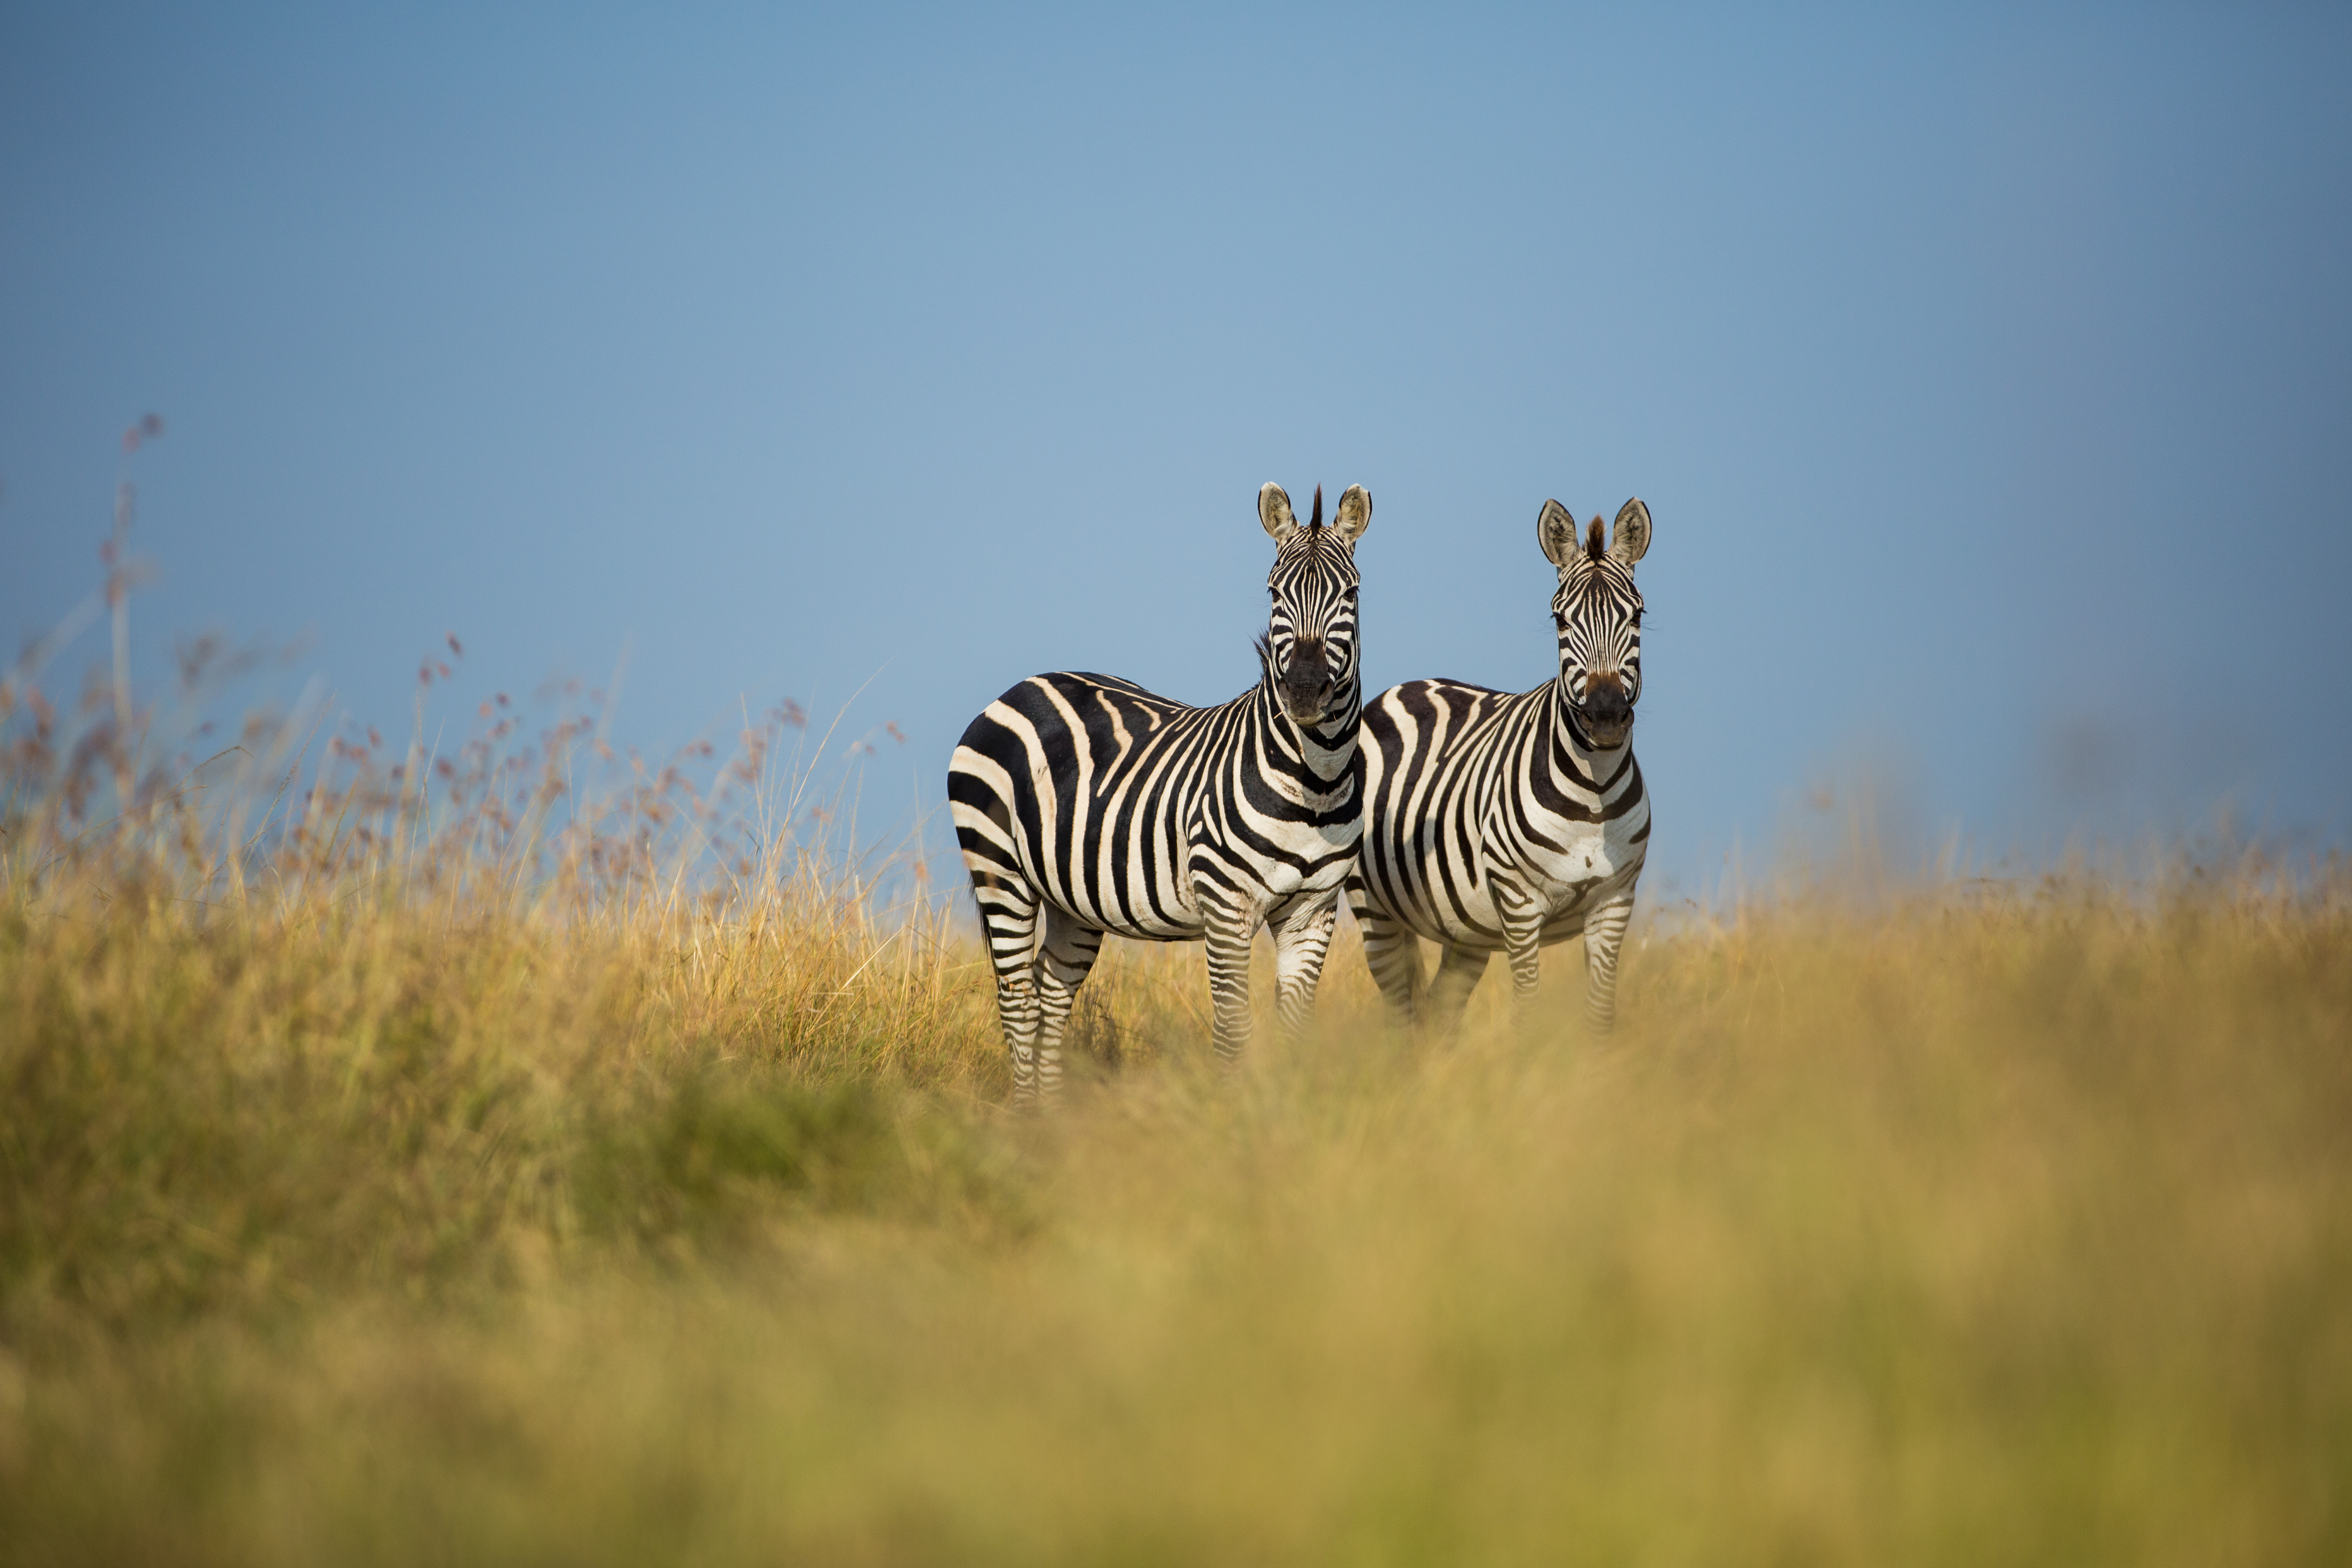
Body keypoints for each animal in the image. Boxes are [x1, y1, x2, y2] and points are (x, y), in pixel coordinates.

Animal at [948, 482, 1372, 1107]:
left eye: (1350, 592)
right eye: (1274, 592)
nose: (1303, 691)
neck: (1314, 781)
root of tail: (1021, 686)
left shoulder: (1312, 912)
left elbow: (1295, 1030)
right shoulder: (1226, 903)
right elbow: (1233, 1030)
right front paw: (1236, 1119)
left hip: (1071, 896)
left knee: (1050, 991)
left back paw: (1050, 1116)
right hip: (1000, 871)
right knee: (1017, 1000)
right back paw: (1027, 1115)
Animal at [1347, 496, 1652, 1035]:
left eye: (1637, 616)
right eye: (1560, 621)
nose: (1605, 716)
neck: (1593, 795)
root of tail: (1404, 687)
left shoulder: (1615, 901)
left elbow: (1600, 1014)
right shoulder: (1519, 901)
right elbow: (1528, 1007)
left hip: (1465, 927)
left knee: (1437, 1013)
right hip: (1376, 911)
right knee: (1402, 1015)